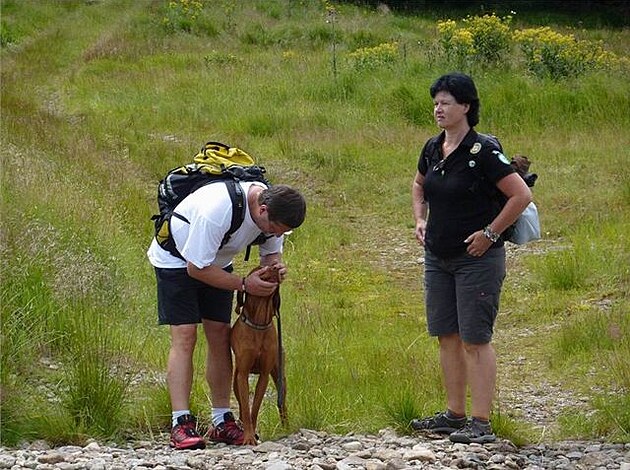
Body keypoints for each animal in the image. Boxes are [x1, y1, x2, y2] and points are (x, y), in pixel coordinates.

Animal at [232, 264, 288, 444]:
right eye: (260, 269)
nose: (276, 266)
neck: (259, 324)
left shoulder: (264, 375)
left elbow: (255, 408)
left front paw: (252, 434)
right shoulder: (242, 374)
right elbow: (246, 407)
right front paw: (248, 437)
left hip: (280, 377)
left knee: (283, 404)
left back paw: (287, 426)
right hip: (235, 379)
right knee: (241, 406)